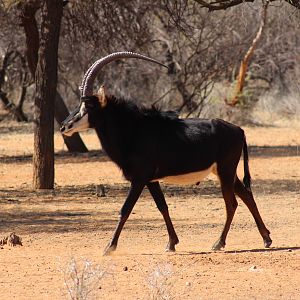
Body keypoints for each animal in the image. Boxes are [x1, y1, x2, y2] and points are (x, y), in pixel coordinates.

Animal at [61, 52, 272, 255]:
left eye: (88, 106)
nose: (64, 126)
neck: (133, 129)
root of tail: (239, 130)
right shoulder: (151, 180)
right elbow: (162, 206)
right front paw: (172, 243)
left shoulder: (139, 179)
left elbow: (125, 209)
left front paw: (109, 247)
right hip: (226, 172)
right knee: (246, 196)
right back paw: (266, 238)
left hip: (225, 171)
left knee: (232, 203)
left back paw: (219, 243)